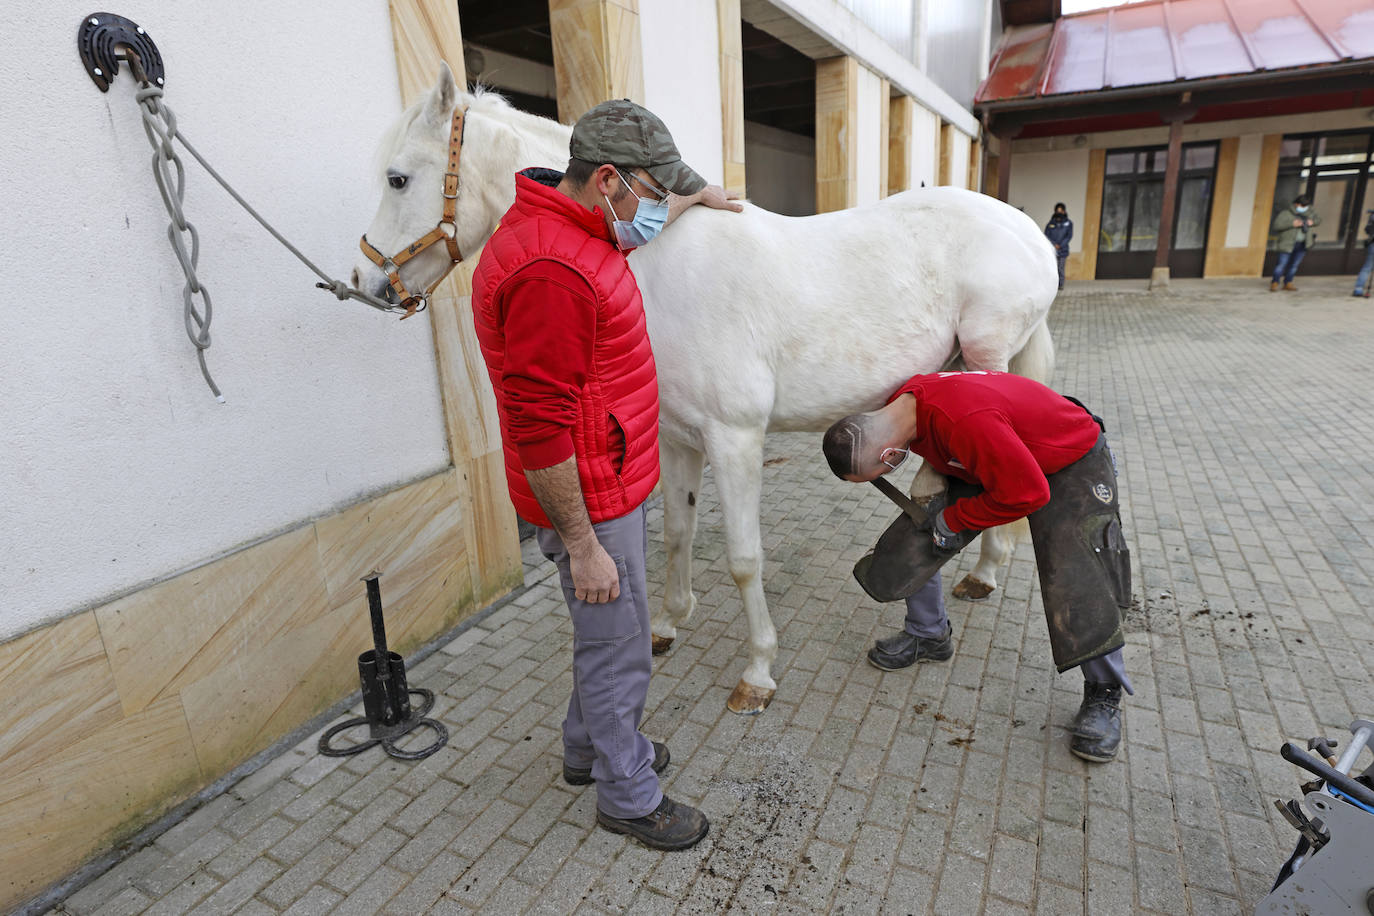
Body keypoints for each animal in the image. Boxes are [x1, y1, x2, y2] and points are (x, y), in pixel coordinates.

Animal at [351, 67, 1049, 719]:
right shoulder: (677, 438)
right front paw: (666, 624)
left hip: (984, 363)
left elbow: (743, 558)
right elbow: (677, 533)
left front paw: (758, 672)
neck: (660, 269)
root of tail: (1028, 232)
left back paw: (983, 570)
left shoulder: (733, 439)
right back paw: (981, 569)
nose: (365, 281)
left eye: (397, 179)